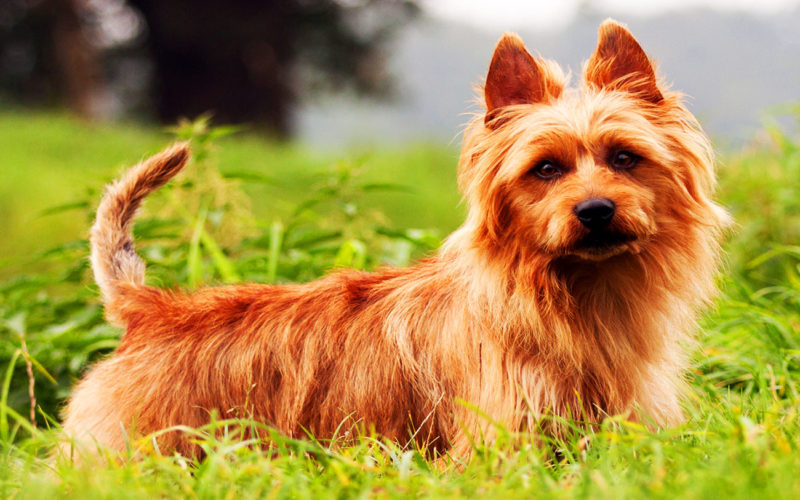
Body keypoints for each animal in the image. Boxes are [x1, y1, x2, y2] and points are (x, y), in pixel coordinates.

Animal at [59, 20, 728, 460]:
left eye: (625, 157)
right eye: (545, 169)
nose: (594, 210)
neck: (569, 294)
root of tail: (148, 309)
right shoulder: (501, 440)